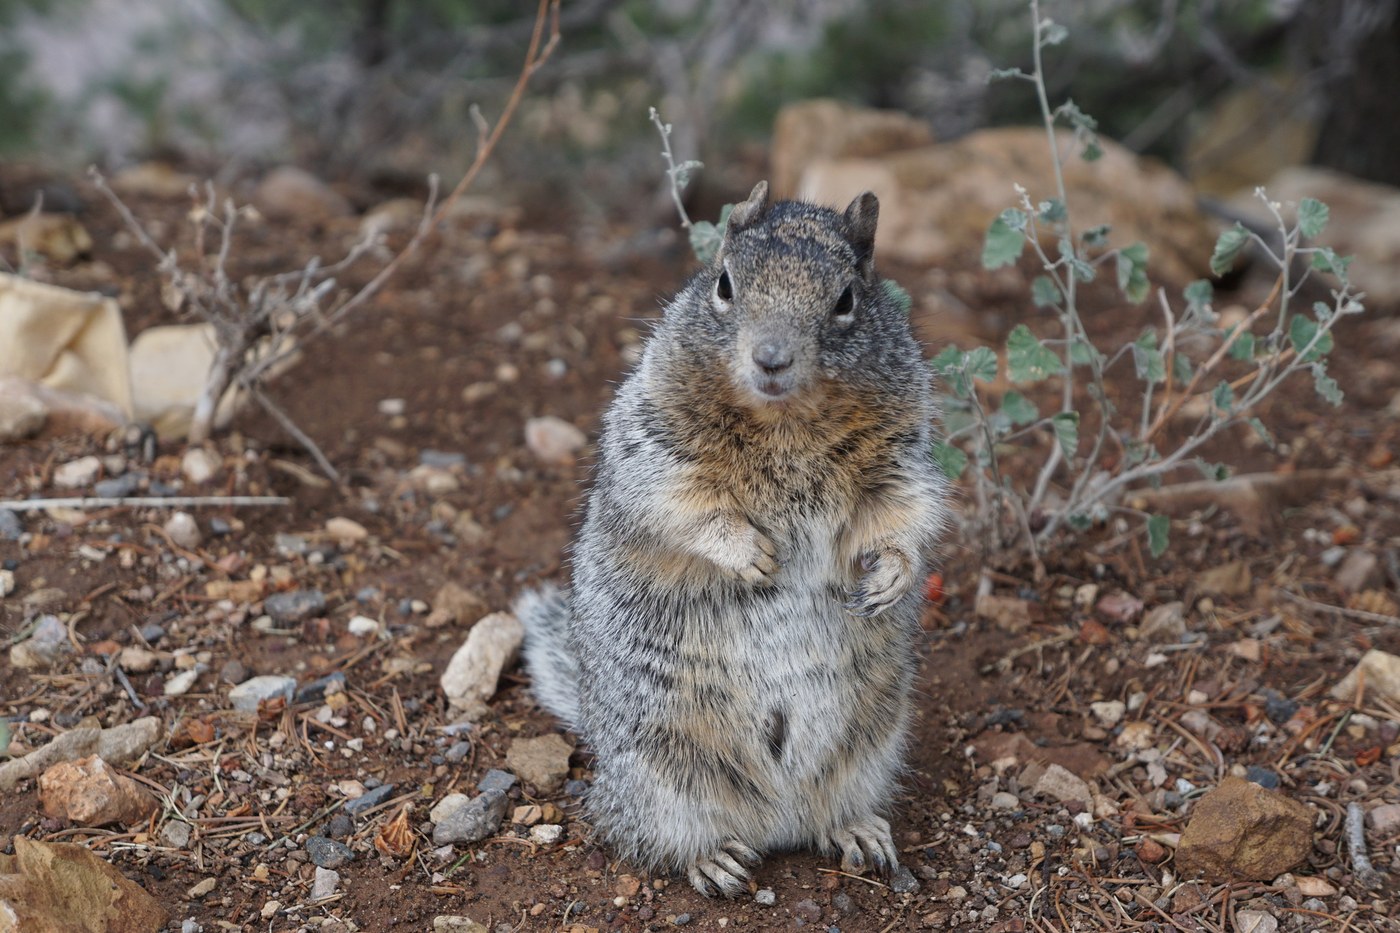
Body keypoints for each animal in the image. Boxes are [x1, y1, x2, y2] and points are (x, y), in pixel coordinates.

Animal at [514, 181, 949, 897]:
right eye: (724, 284)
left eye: (847, 300)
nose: (770, 359)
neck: (785, 418)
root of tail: (777, 821)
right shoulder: (655, 442)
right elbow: (680, 504)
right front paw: (752, 555)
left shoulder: (902, 453)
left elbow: (904, 511)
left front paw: (890, 575)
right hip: (658, 774)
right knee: (644, 834)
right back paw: (713, 858)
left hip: (870, 752)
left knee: (830, 812)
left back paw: (857, 831)